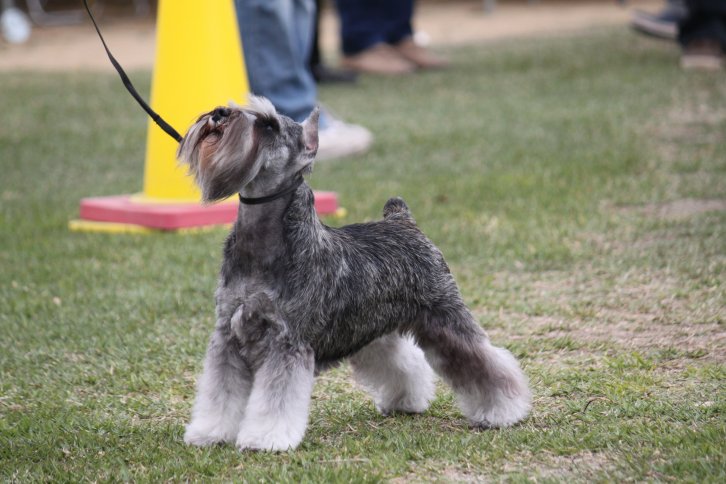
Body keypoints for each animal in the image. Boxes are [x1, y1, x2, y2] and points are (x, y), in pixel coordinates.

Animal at [176, 96, 528, 452]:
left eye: (269, 125)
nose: (218, 114)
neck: (261, 244)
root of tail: (402, 220)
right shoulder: (227, 336)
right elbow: (220, 393)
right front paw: (209, 432)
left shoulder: (287, 343)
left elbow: (275, 398)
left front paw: (266, 438)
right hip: (371, 329)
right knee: (403, 363)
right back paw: (405, 400)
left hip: (445, 319)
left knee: (486, 362)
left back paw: (504, 410)